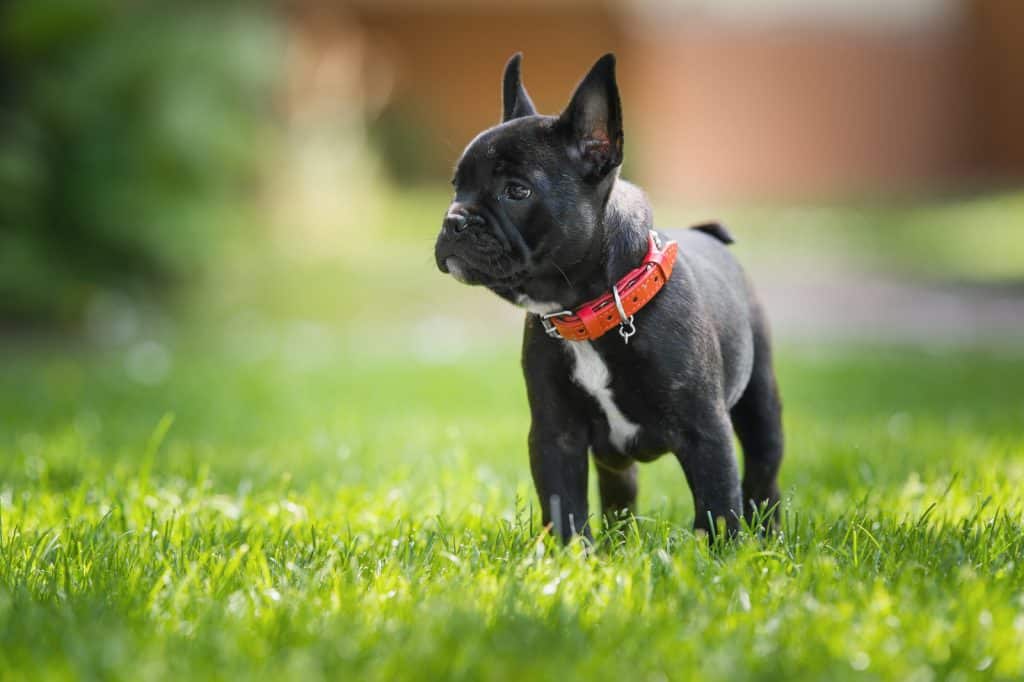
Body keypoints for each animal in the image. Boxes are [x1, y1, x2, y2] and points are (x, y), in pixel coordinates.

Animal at [434, 51, 782, 540]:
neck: (590, 312)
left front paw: (723, 553)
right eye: (456, 187)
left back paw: (769, 535)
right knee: (620, 490)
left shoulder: (704, 432)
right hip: (616, 461)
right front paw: (570, 556)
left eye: (516, 191)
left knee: (763, 473)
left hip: (760, 404)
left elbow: (717, 505)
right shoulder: (555, 435)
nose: (455, 220)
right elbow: (564, 506)